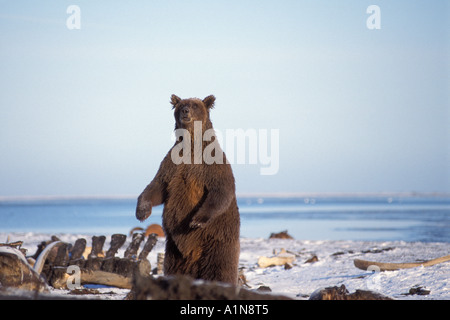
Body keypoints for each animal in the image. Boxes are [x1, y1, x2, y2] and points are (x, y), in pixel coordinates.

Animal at [135, 94, 241, 284]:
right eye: (182, 105)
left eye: (194, 105)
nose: (185, 111)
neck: (191, 146)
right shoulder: (172, 164)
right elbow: (157, 187)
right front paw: (142, 211)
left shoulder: (212, 165)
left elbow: (220, 191)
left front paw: (196, 220)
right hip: (174, 250)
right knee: (173, 266)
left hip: (217, 239)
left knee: (220, 266)